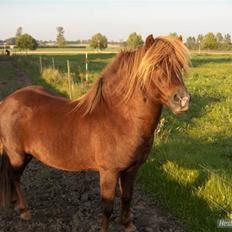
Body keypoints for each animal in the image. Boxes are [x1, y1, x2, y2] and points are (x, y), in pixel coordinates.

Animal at [0, 35, 190, 232]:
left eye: (180, 65)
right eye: (156, 65)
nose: (183, 100)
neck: (119, 117)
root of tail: (7, 101)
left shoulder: (132, 169)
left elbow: (127, 197)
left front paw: (127, 224)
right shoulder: (109, 171)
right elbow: (107, 206)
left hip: (26, 155)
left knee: (15, 177)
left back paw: (16, 204)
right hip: (17, 155)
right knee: (14, 177)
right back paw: (24, 211)